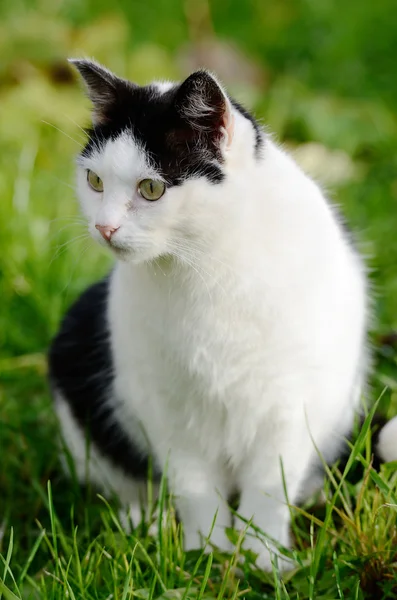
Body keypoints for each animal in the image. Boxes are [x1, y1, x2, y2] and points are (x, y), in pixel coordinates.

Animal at [47, 59, 396, 572]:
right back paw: (144, 523)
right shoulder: (166, 403)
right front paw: (205, 553)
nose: (104, 227)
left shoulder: (289, 402)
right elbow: (193, 485)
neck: (204, 268)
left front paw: (263, 557)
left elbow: (270, 485)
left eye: (151, 188)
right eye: (94, 181)